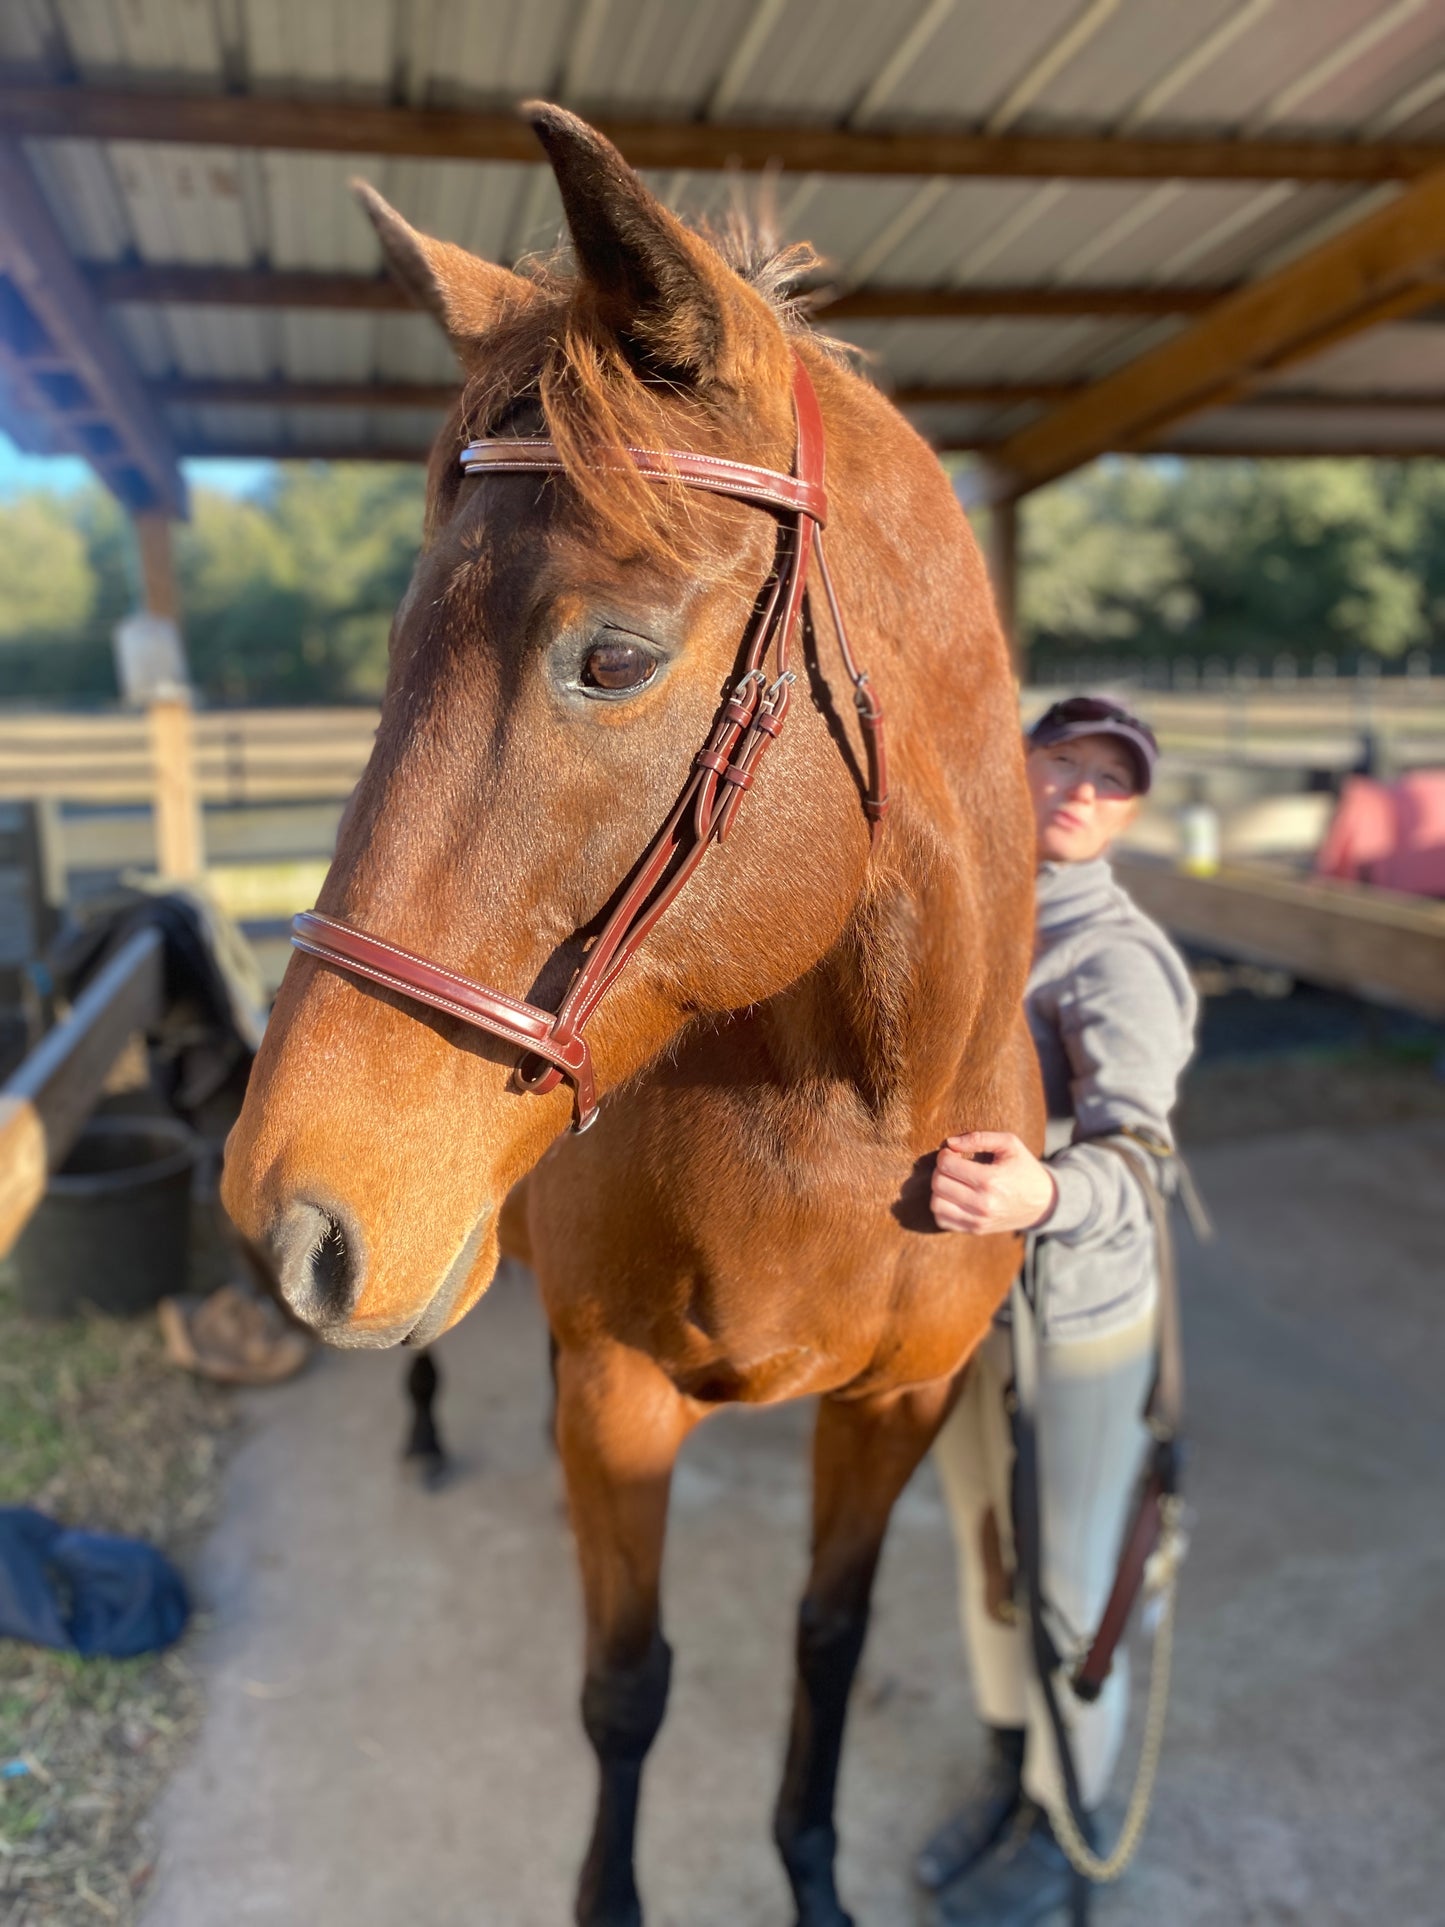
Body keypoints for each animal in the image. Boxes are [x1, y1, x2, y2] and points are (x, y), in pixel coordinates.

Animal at [223, 105, 1040, 1927]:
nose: (283, 1214)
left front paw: (815, 1874)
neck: (851, 1123)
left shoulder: (896, 1406)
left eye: (612, 657)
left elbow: (825, 1643)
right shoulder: (621, 1393)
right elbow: (627, 1686)